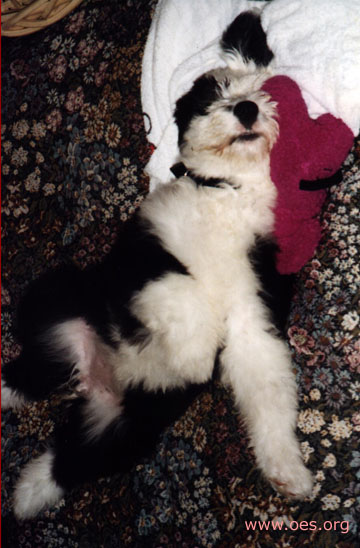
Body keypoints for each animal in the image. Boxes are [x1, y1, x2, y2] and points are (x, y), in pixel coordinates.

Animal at [1, 11, 312, 520]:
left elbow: (269, 386)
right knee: (31, 372)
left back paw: (27, 495)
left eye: (261, 93)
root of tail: (94, 375)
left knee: (70, 454)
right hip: (61, 293)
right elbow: (184, 291)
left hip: (127, 431)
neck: (227, 191)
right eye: (214, 95)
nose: (247, 109)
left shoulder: (254, 310)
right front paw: (195, 356)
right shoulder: (145, 252)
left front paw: (289, 472)